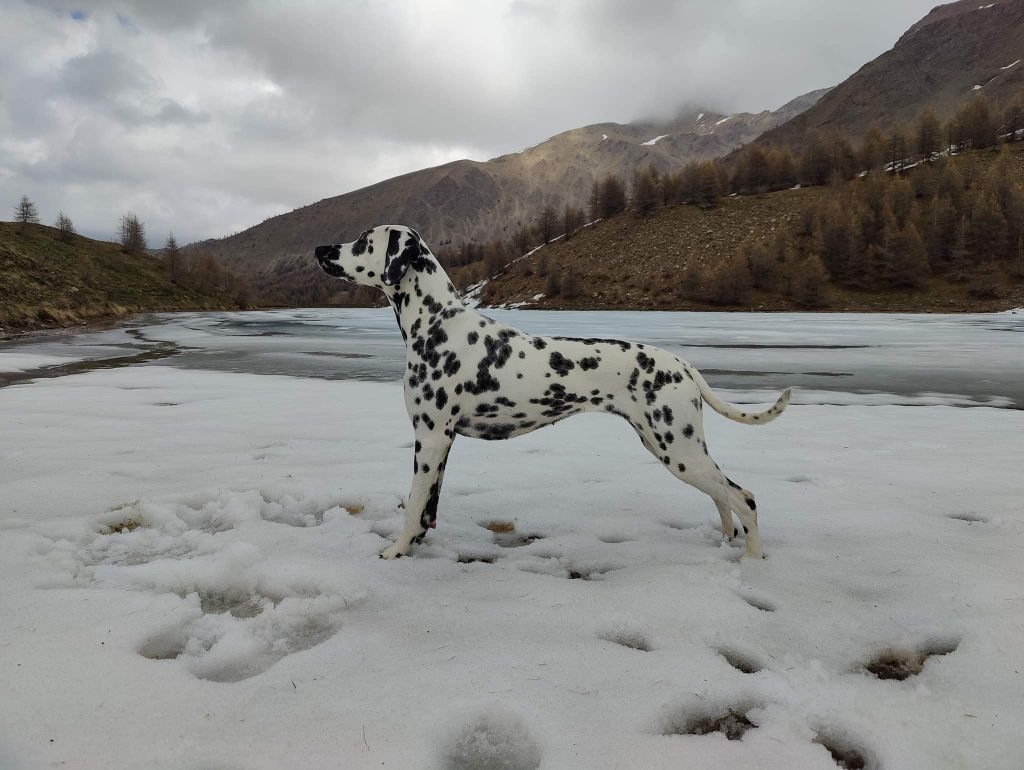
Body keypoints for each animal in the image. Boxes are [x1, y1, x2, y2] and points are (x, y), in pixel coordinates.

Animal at [313, 227, 790, 561]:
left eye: (362, 241)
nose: (319, 250)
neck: (436, 323)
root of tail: (683, 365)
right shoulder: (441, 444)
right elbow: (428, 509)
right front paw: (415, 548)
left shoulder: (429, 439)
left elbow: (413, 506)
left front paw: (395, 552)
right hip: (679, 448)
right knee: (723, 496)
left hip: (679, 450)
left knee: (743, 498)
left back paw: (752, 560)